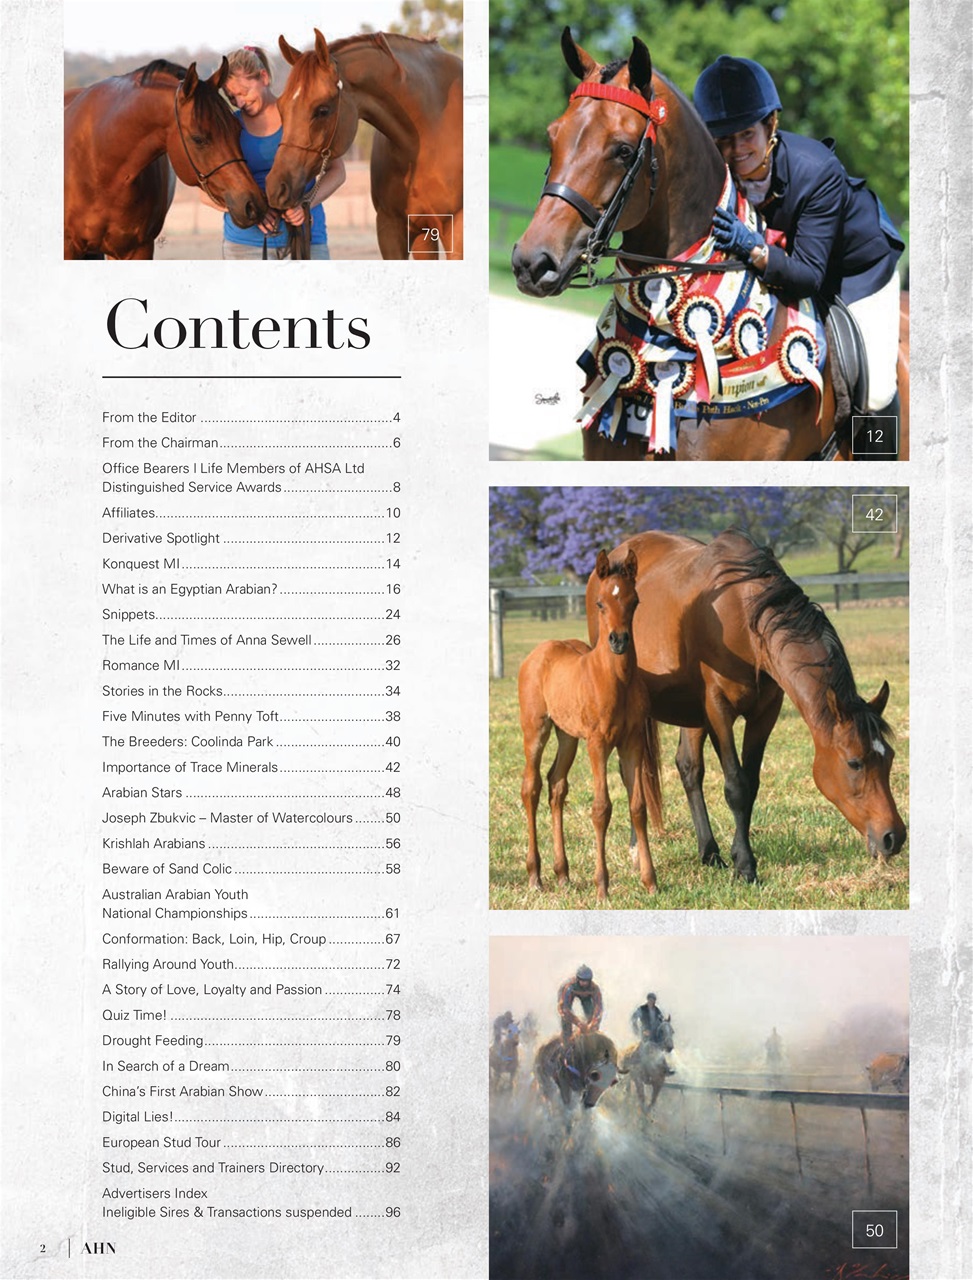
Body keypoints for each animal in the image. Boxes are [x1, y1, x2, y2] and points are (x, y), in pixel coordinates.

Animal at [518, 548, 663, 900]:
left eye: (634, 601)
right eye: (600, 602)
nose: (619, 641)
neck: (615, 680)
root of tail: (538, 653)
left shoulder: (631, 742)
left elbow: (637, 807)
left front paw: (650, 881)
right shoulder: (598, 743)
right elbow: (601, 809)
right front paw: (602, 887)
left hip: (568, 736)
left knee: (556, 785)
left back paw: (562, 874)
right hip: (535, 730)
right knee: (531, 787)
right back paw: (535, 876)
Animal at [586, 529, 906, 881]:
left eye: (890, 757)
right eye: (854, 763)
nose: (893, 837)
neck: (742, 617)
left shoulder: (765, 712)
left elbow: (750, 783)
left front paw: (736, 855)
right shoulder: (717, 709)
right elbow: (736, 785)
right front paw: (745, 866)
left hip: (690, 712)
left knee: (688, 767)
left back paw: (709, 852)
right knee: (633, 773)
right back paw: (637, 851)